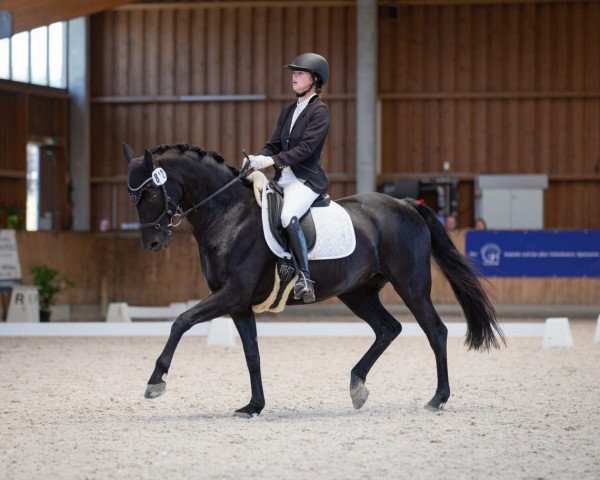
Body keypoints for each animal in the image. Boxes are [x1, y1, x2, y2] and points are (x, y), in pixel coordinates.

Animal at [124, 142, 504, 416]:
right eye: (133, 198)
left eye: (151, 193)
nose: (152, 243)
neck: (228, 215)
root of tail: (407, 204)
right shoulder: (238, 304)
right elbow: (252, 354)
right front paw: (254, 406)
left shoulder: (232, 294)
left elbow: (181, 321)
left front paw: (155, 382)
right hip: (358, 292)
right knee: (388, 328)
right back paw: (357, 386)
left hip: (411, 285)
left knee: (435, 331)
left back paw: (437, 398)